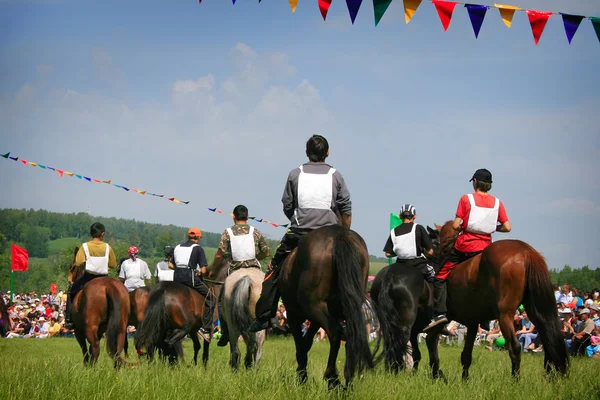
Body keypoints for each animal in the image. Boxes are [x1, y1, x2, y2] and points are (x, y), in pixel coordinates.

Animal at [278, 225, 372, 390]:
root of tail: (340, 235)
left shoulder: (294, 315)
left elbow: (301, 345)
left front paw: (302, 376)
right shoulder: (317, 317)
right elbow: (307, 342)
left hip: (314, 307)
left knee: (335, 334)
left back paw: (331, 377)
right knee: (350, 336)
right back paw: (347, 380)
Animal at [370, 227, 440, 376]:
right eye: (437, 243)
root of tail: (388, 276)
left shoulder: (415, 331)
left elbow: (416, 353)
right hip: (406, 323)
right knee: (399, 342)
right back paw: (397, 370)